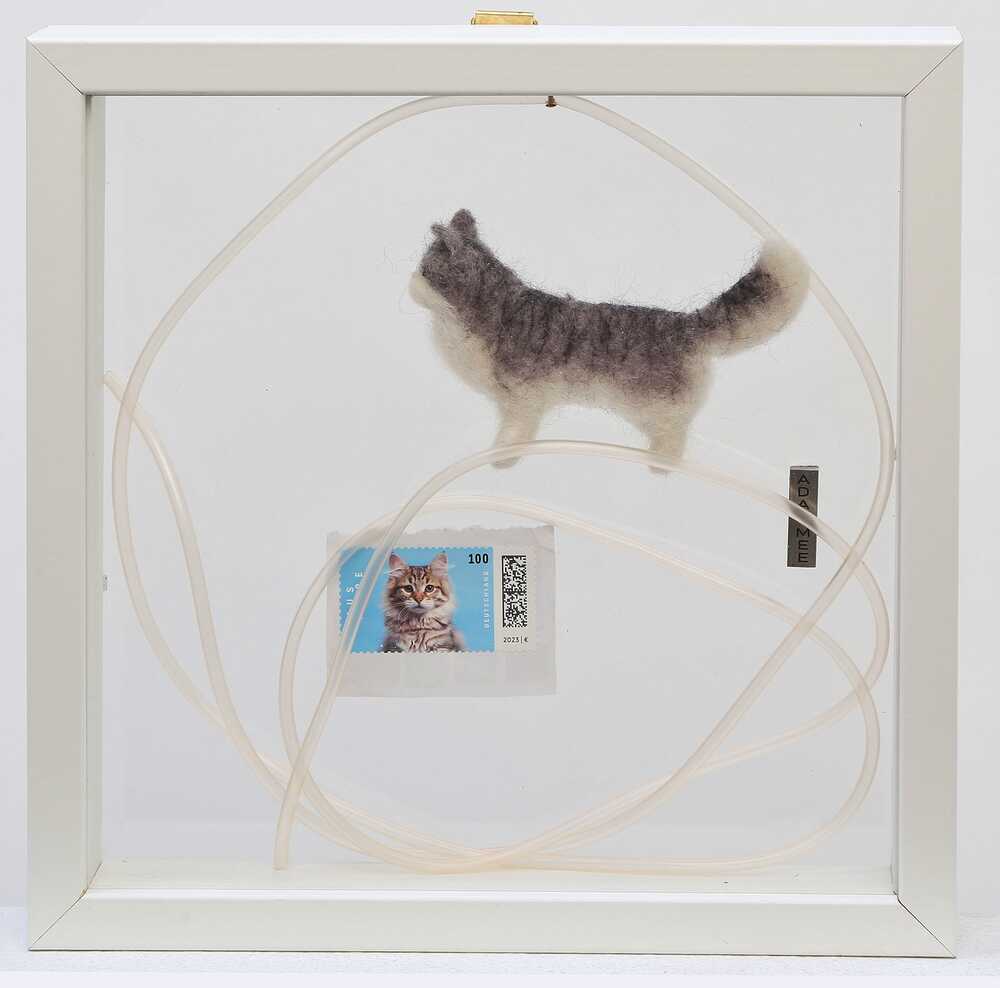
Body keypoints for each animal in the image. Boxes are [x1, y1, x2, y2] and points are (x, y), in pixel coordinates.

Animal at [409, 209, 809, 469]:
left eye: (424, 271)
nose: (409, 286)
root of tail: (686, 324)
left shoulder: (522, 400)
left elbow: (515, 434)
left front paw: (502, 457)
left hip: (654, 406)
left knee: (675, 433)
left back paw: (659, 463)